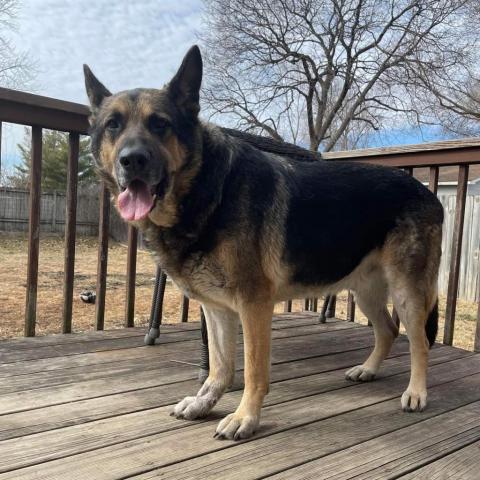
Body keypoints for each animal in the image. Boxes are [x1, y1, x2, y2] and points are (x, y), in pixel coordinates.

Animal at [84, 47, 444, 440]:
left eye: (160, 124)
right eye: (113, 125)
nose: (132, 159)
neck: (208, 188)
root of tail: (429, 193)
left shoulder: (253, 305)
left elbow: (254, 370)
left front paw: (245, 417)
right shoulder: (217, 308)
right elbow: (220, 367)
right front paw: (204, 402)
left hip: (407, 293)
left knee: (420, 342)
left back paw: (417, 392)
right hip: (365, 290)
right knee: (388, 330)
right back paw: (368, 369)